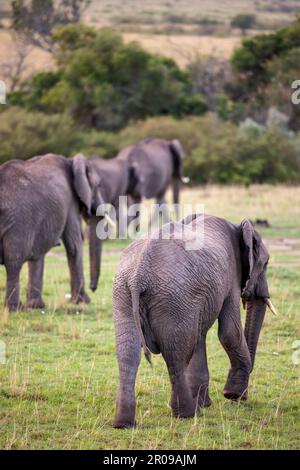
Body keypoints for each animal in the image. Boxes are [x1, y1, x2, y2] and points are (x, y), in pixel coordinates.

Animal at [0, 152, 101, 310]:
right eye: (98, 185)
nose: (93, 288)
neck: (70, 160)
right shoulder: (70, 201)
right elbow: (74, 245)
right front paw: (83, 302)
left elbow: (37, 253)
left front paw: (36, 307)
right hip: (18, 222)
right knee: (14, 261)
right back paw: (15, 309)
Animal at [112, 215, 276, 428]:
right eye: (266, 263)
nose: (240, 397)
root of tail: (138, 275)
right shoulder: (230, 277)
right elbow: (229, 333)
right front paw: (232, 395)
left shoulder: (200, 297)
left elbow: (200, 336)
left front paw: (208, 402)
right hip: (173, 300)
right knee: (176, 356)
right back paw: (187, 414)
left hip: (123, 294)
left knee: (128, 355)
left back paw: (124, 424)